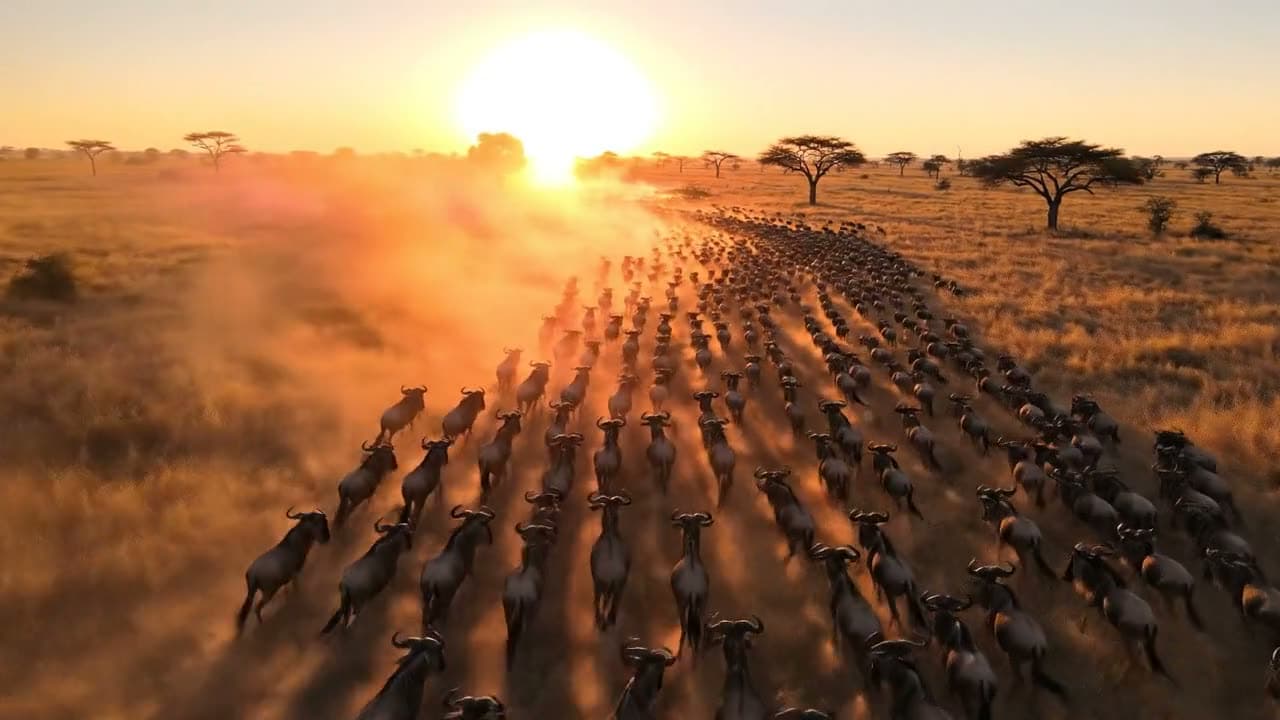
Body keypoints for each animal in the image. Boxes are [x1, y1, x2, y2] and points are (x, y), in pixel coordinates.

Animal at [590, 492, 633, 629]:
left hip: (605, 583)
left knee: (604, 599)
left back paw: (603, 620)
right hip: (613, 583)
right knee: (610, 599)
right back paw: (606, 620)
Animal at [670, 510, 714, 656]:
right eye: (686, 522)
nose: (690, 539)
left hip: (682, 601)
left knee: (684, 627)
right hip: (703, 600)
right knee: (701, 626)